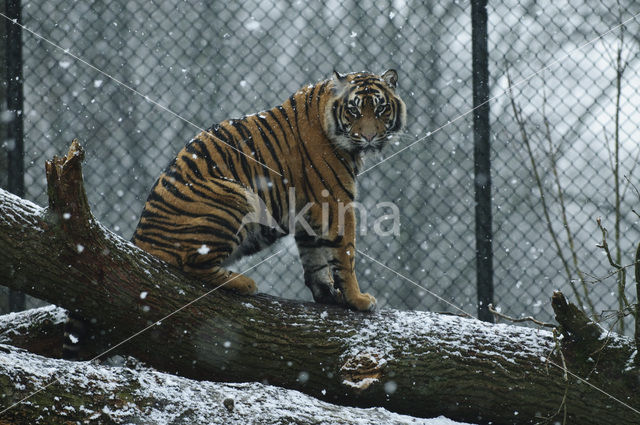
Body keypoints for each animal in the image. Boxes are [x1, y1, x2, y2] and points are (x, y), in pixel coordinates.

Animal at [131, 68, 404, 308]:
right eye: (353, 110)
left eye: (380, 108)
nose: (368, 137)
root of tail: (139, 240)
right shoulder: (335, 201)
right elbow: (345, 254)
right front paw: (358, 300)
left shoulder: (307, 211)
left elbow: (314, 259)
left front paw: (328, 296)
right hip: (237, 196)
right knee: (191, 263)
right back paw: (245, 283)